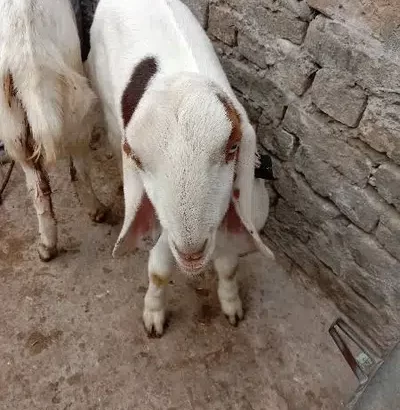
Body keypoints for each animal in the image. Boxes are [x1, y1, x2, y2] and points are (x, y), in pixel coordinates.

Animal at [86, 0, 276, 334]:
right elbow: (159, 269)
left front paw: (231, 305)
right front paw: (153, 315)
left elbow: (228, 265)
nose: (192, 252)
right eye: (137, 159)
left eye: (232, 148)